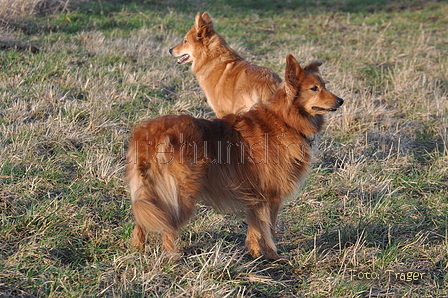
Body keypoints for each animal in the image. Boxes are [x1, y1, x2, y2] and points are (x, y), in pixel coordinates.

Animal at [126, 54, 344, 260]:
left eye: (324, 85)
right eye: (314, 88)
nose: (341, 100)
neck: (284, 119)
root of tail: (150, 135)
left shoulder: (256, 198)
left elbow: (255, 228)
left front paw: (255, 253)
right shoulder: (272, 197)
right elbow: (269, 229)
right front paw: (273, 256)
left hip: (149, 192)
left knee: (142, 221)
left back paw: (138, 249)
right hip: (179, 195)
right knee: (168, 228)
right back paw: (172, 256)